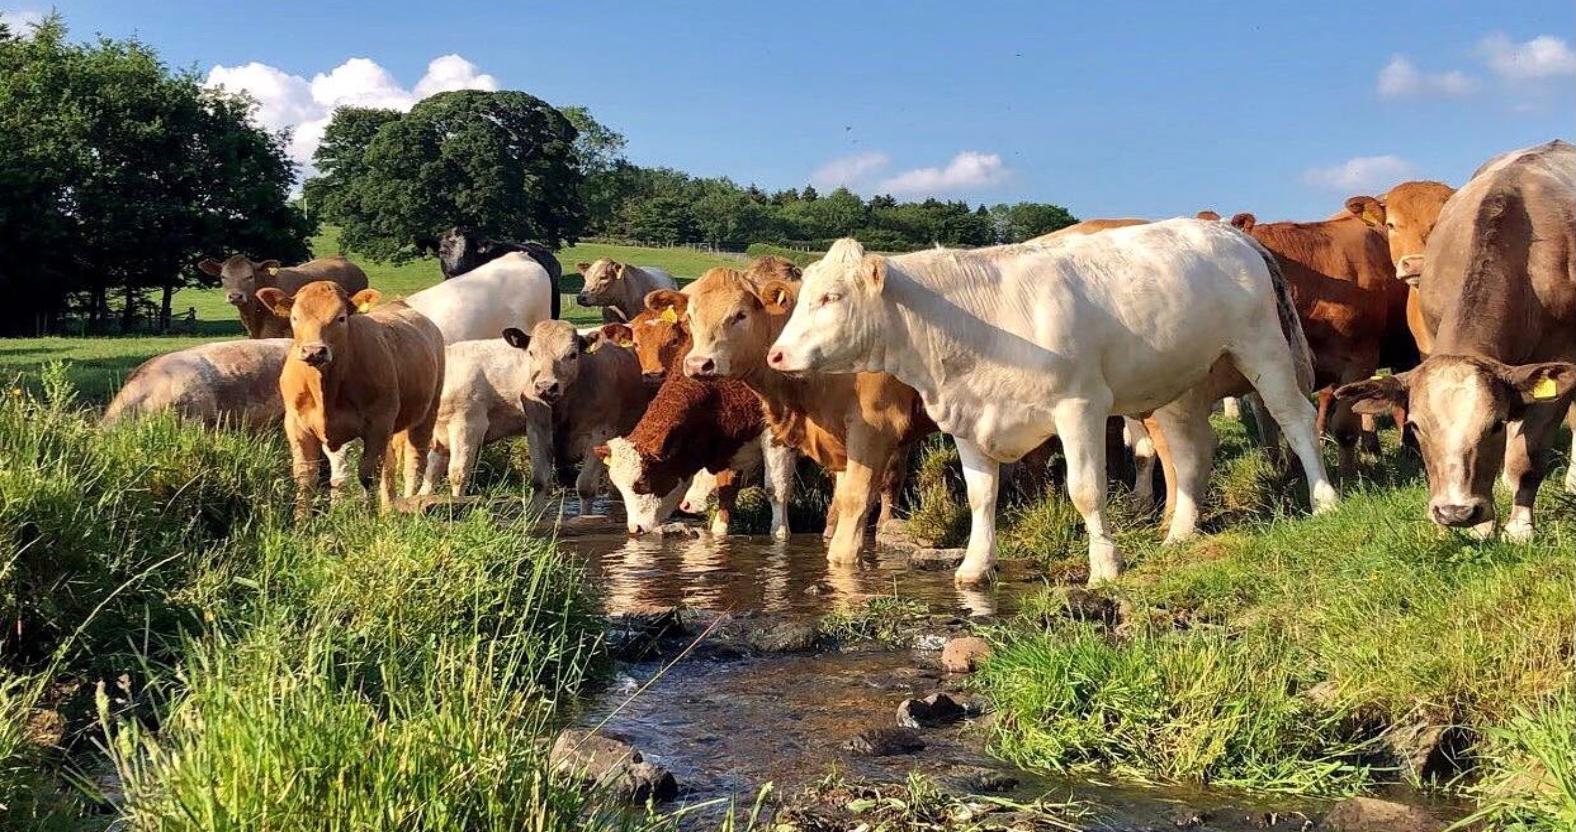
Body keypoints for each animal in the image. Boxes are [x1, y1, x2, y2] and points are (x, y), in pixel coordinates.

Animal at [260, 282, 445, 515]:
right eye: (295, 317)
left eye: (341, 318)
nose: (314, 351)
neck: (326, 389)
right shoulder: (296, 425)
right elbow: (304, 477)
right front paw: (301, 520)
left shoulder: (378, 424)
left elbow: (367, 474)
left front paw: (366, 516)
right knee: (389, 467)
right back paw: (387, 510)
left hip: (426, 413)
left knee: (414, 462)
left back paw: (409, 502)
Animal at [504, 320, 652, 516]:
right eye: (531, 352)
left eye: (572, 354)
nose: (546, 387)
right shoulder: (536, 430)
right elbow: (540, 481)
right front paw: (536, 517)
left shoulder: (600, 434)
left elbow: (585, 487)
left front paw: (584, 518)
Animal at [677, 264, 936, 564]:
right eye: (691, 316)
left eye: (740, 314)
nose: (698, 364)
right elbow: (841, 496)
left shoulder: (877, 429)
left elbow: (863, 496)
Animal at [767, 224, 1337, 586]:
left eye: (832, 297)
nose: (777, 354)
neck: (975, 324)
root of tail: (1234, 235)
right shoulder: (968, 421)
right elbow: (982, 497)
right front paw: (975, 567)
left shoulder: (1080, 406)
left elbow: (1085, 491)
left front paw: (1105, 565)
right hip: (1182, 384)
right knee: (1194, 452)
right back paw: (1179, 534)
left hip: (1262, 347)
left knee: (1295, 420)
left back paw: (1325, 500)